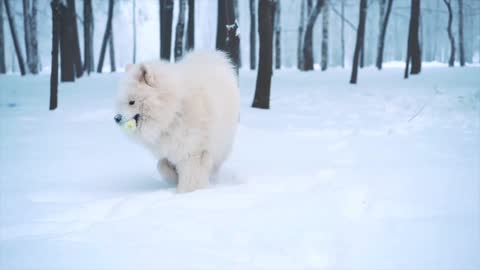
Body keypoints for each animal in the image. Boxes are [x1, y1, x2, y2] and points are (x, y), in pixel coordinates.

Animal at [115, 50, 242, 193]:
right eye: (121, 102)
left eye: (132, 102)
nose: (117, 118)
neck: (174, 110)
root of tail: (212, 55)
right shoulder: (169, 148)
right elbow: (161, 165)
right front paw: (174, 178)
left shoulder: (192, 151)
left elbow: (191, 176)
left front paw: (186, 192)